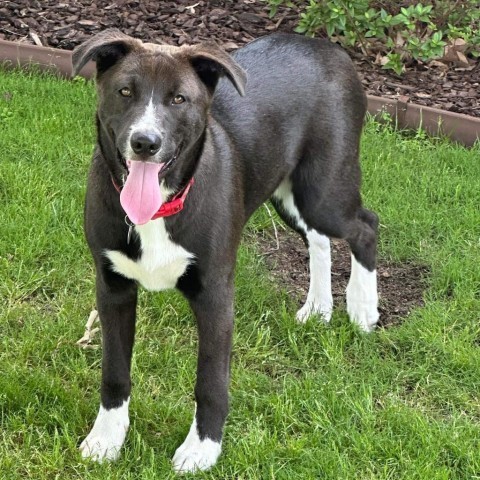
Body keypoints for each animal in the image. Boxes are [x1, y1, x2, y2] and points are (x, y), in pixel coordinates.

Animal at [72, 29, 378, 472]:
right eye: (124, 91)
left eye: (179, 99)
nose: (145, 142)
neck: (161, 207)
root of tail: (326, 46)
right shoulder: (112, 288)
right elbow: (114, 372)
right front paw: (107, 439)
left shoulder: (216, 296)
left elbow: (210, 382)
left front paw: (202, 448)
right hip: (289, 194)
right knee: (318, 238)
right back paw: (319, 307)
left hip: (325, 190)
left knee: (365, 227)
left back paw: (363, 309)